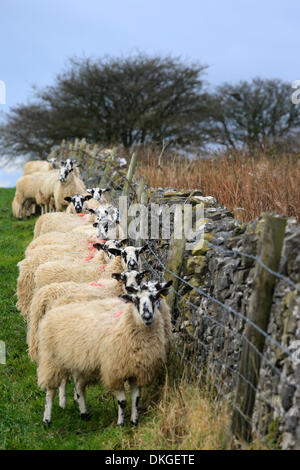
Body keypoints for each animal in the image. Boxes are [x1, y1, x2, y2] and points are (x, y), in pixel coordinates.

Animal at [37, 282, 171, 426]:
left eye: (155, 297)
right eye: (135, 300)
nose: (147, 316)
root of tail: (53, 310)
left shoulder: (136, 371)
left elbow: (136, 399)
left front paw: (134, 422)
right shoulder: (114, 371)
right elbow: (122, 401)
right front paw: (120, 424)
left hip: (83, 365)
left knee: (79, 387)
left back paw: (84, 414)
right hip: (52, 360)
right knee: (50, 391)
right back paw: (47, 420)